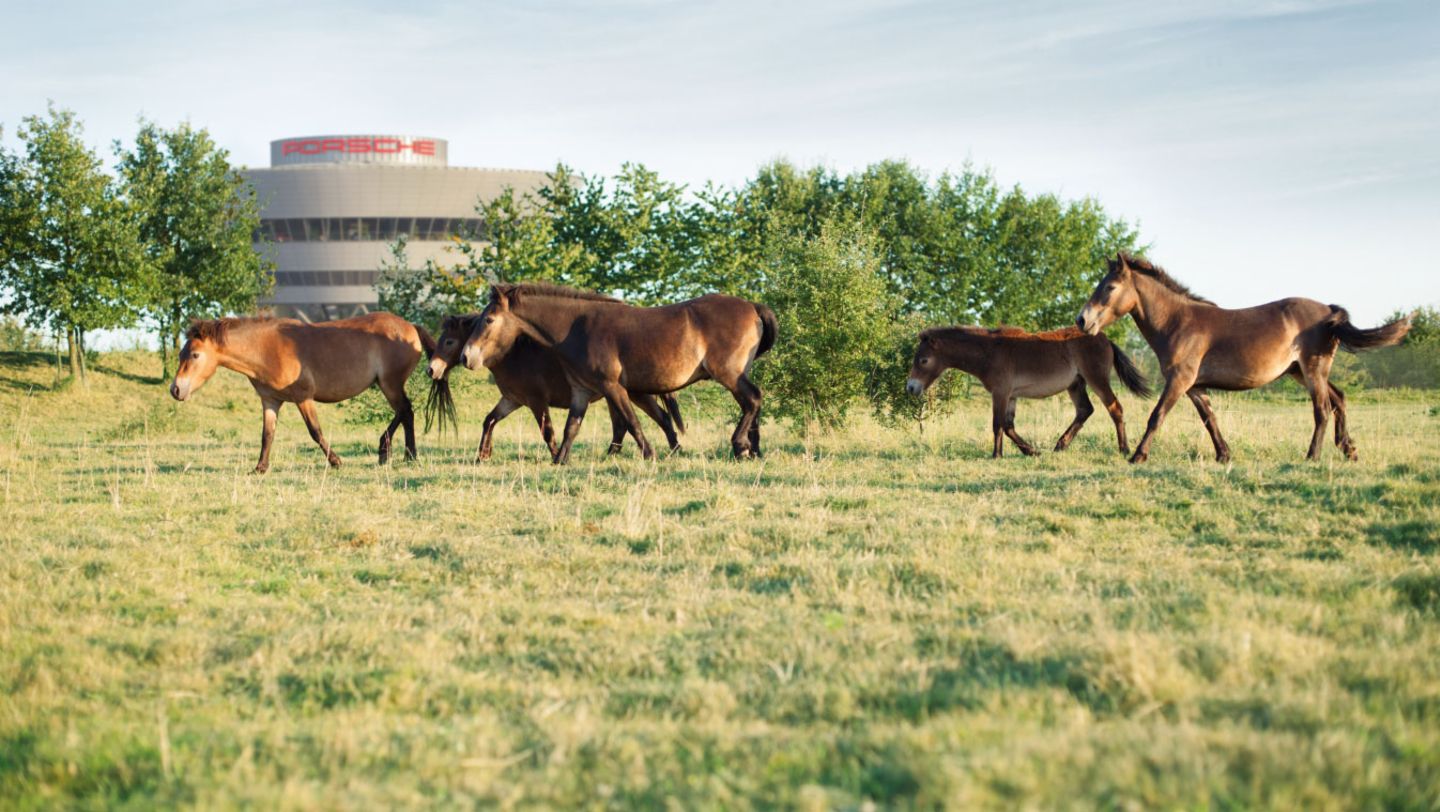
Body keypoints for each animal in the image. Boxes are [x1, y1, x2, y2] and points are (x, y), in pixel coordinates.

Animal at [169, 313, 455, 473]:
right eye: (182, 353)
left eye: (195, 355)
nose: (176, 389)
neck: (267, 349)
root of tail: (410, 326)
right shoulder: (270, 401)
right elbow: (267, 435)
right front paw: (260, 468)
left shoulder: (303, 398)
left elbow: (315, 432)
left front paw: (336, 462)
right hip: (389, 385)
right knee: (404, 413)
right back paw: (395, 452)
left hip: (390, 384)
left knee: (405, 411)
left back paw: (399, 453)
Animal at [427, 313, 685, 460]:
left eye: (449, 341)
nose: (431, 370)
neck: (514, 355)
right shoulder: (512, 400)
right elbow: (489, 420)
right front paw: (483, 455)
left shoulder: (536, 401)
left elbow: (547, 431)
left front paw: (555, 455)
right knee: (630, 424)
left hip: (634, 393)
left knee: (658, 417)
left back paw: (672, 450)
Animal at [459, 284, 777, 464]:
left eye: (489, 320)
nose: (466, 356)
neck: (576, 328)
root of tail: (752, 306)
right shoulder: (582, 391)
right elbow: (571, 427)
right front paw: (560, 460)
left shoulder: (612, 386)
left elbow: (632, 422)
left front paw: (649, 455)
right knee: (752, 404)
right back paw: (753, 450)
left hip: (729, 374)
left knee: (753, 399)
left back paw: (739, 445)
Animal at [905, 325, 1152, 457]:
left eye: (924, 360)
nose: (911, 387)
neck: (989, 351)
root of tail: (1105, 338)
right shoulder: (1011, 396)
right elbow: (1008, 426)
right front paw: (1031, 451)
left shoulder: (1001, 392)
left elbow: (997, 425)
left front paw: (996, 455)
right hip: (1076, 384)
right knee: (1085, 410)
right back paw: (1060, 446)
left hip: (1096, 379)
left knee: (1115, 408)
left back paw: (1124, 449)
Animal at [1076, 252, 1411, 463]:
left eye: (1110, 287)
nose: (1082, 320)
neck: (1178, 323)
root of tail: (1329, 312)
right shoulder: (1194, 386)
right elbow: (1210, 419)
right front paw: (1223, 455)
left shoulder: (1179, 380)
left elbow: (1156, 416)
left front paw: (1137, 456)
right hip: (1300, 372)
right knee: (1339, 399)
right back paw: (1348, 449)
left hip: (1313, 371)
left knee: (1322, 410)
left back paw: (1312, 456)